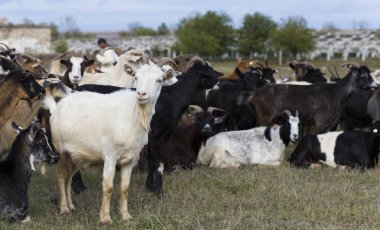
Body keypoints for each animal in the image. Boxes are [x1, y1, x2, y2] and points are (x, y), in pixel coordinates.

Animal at [51, 62, 173, 224]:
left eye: (159, 80)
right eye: (136, 77)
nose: (141, 94)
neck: (134, 115)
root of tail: (62, 102)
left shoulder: (131, 159)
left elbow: (125, 188)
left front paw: (125, 216)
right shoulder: (110, 155)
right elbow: (108, 187)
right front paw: (105, 218)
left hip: (76, 153)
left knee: (69, 177)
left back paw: (71, 206)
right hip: (60, 149)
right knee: (60, 175)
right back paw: (64, 208)